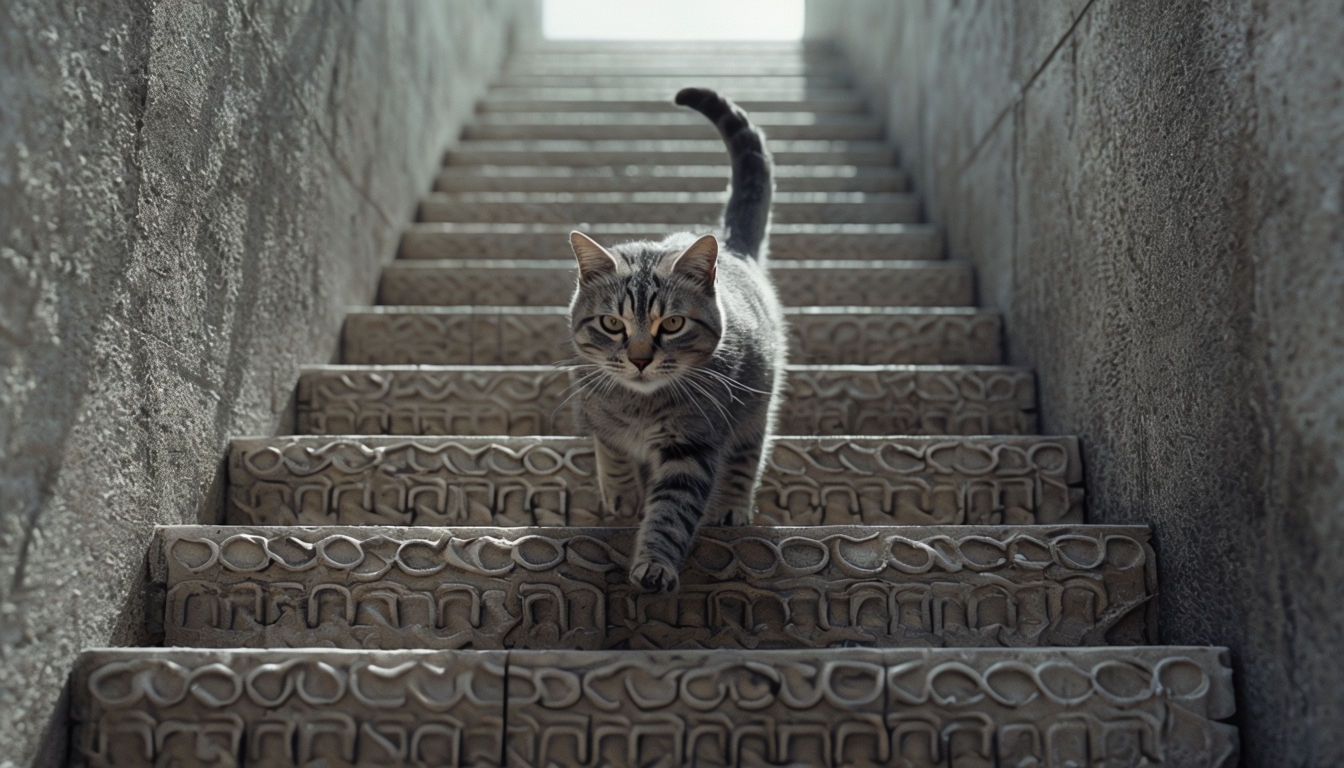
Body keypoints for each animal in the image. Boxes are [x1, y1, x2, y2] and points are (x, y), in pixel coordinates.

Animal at [564, 88, 784, 594]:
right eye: (612, 324)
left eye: (673, 324)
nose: (640, 359)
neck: (639, 407)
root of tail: (733, 247)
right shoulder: (592, 405)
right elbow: (611, 450)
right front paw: (621, 494)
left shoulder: (693, 446)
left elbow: (670, 515)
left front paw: (653, 565)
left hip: (756, 404)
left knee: (747, 453)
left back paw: (732, 505)